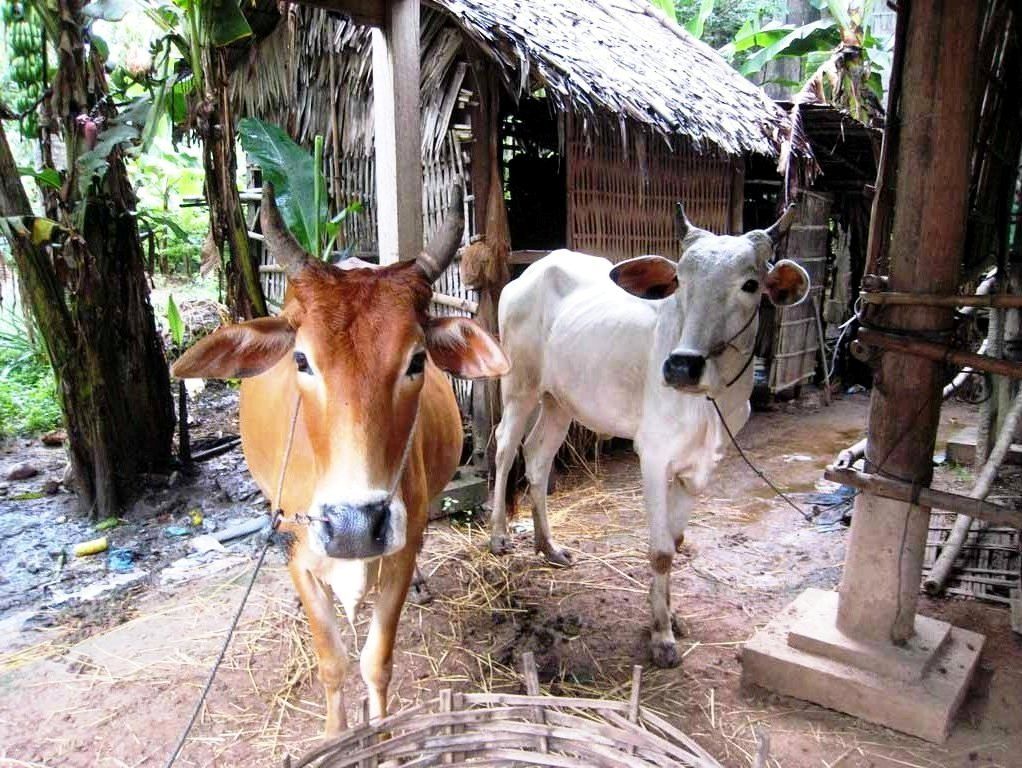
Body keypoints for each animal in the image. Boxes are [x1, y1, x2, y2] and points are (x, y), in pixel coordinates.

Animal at [176, 186, 515, 740]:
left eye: (417, 360)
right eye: (301, 359)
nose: (356, 526)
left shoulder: (399, 554)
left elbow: (376, 661)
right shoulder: (300, 554)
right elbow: (332, 661)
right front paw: (335, 737)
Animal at [490, 205, 809, 666]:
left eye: (750, 284)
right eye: (681, 282)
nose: (681, 366)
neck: (709, 400)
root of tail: (529, 273)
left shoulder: (701, 466)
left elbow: (675, 542)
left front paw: (671, 615)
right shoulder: (654, 456)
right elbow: (660, 551)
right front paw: (661, 636)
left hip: (560, 401)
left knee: (536, 456)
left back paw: (548, 546)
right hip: (520, 385)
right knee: (503, 446)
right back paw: (498, 535)